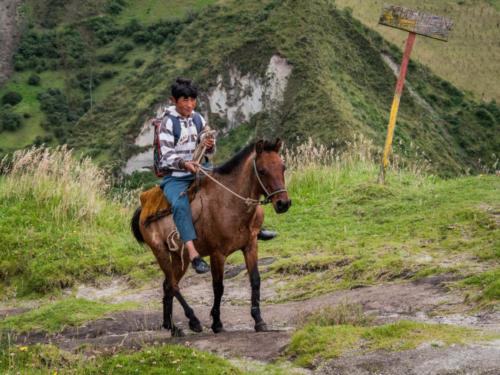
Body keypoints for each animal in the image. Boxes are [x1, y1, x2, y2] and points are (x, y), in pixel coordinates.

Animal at [131, 139, 292, 338]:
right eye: (262, 170)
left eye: (283, 167)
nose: (283, 203)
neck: (230, 203)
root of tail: (143, 209)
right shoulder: (218, 254)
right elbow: (218, 287)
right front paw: (216, 323)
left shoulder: (251, 246)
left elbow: (255, 280)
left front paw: (259, 320)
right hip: (160, 252)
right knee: (173, 285)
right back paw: (193, 321)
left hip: (180, 258)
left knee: (168, 285)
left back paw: (171, 326)